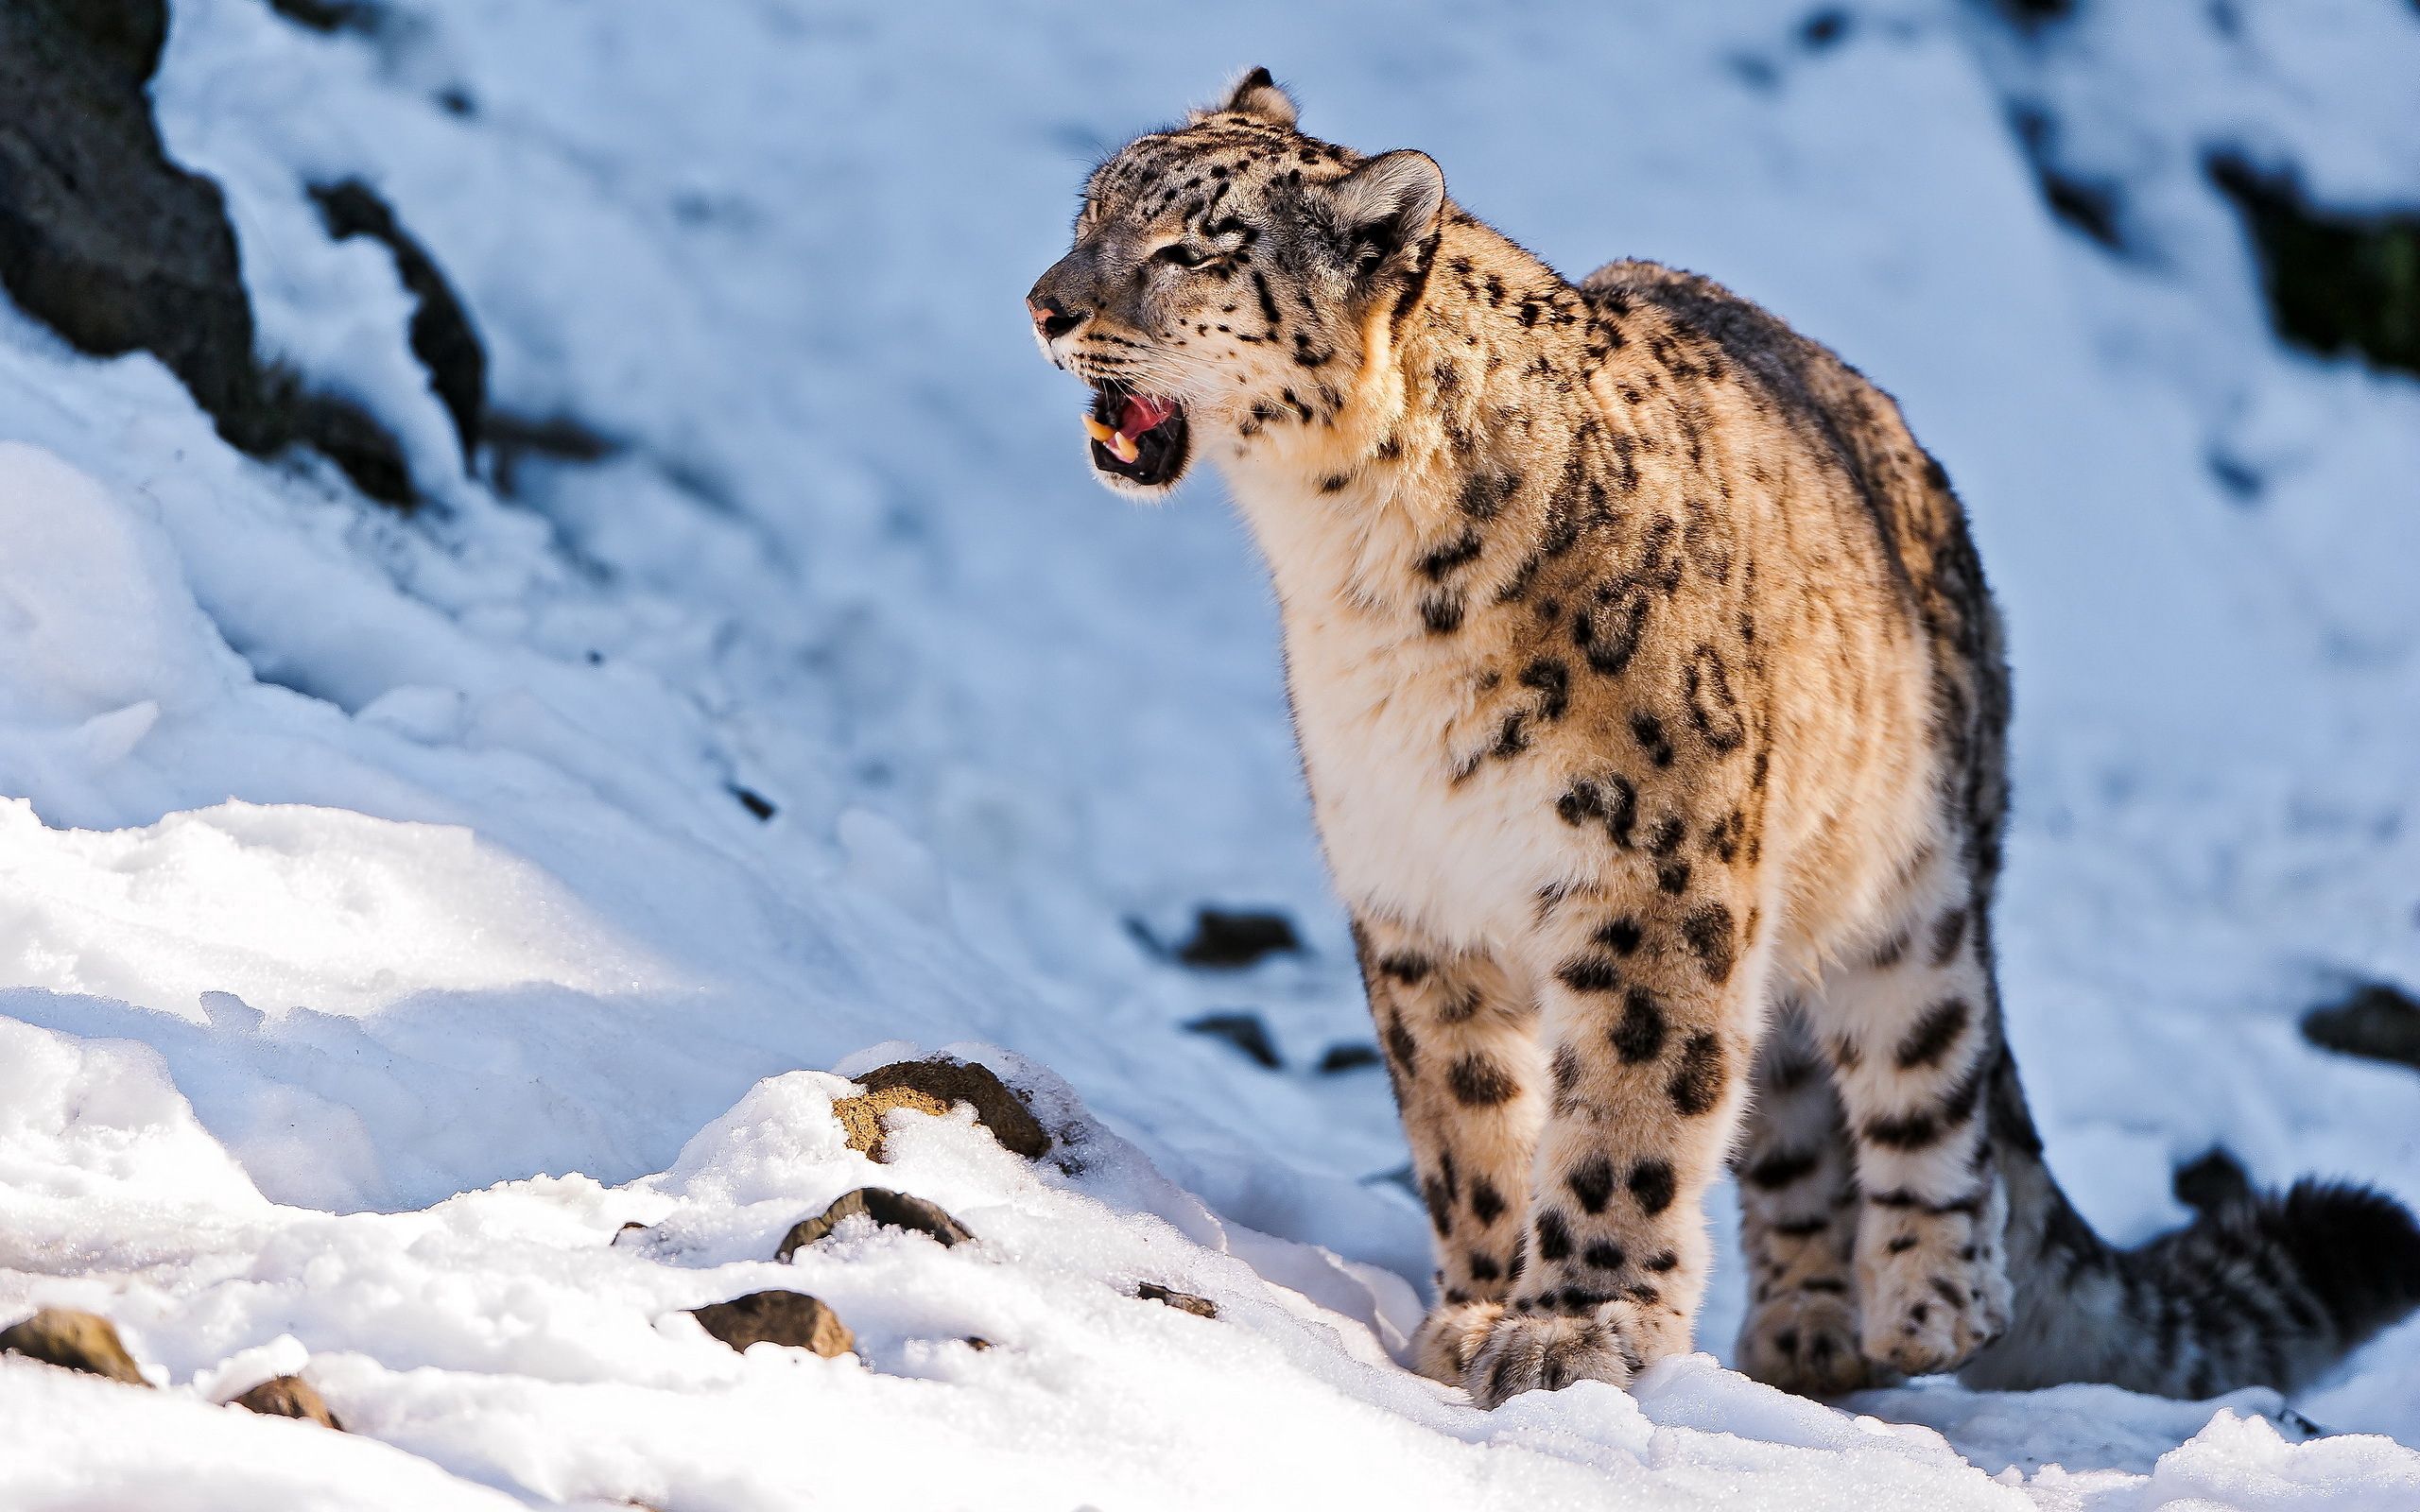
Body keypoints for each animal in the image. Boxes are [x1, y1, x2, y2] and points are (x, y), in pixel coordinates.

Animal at [1028, 68, 2420, 1409]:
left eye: (1187, 249)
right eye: (1089, 214)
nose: (1043, 305)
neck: (1354, 576)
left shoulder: (1648, 871)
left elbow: (1628, 1106)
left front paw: (1570, 1330)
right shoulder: (1413, 892)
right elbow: (1465, 1121)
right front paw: (1478, 1305)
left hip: (1905, 884)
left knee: (1938, 1067)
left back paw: (1926, 1298)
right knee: (1791, 1109)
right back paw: (1808, 1331)